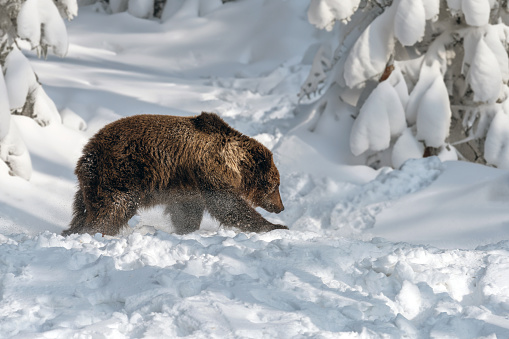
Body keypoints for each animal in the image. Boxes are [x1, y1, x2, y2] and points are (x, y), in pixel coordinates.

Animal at [60, 111, 286, 236]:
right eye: (276, 185)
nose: (280, 207)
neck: (234, 164)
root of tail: (89, 151)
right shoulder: (208, 170)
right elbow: (227, 204)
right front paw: (275, 227)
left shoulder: (188, 185)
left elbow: (187, 211)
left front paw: (186, 230)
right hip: (121, 173)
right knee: (113, 207)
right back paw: (97, 232)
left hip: (90, 183)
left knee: (82, 210)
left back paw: (71, 231)